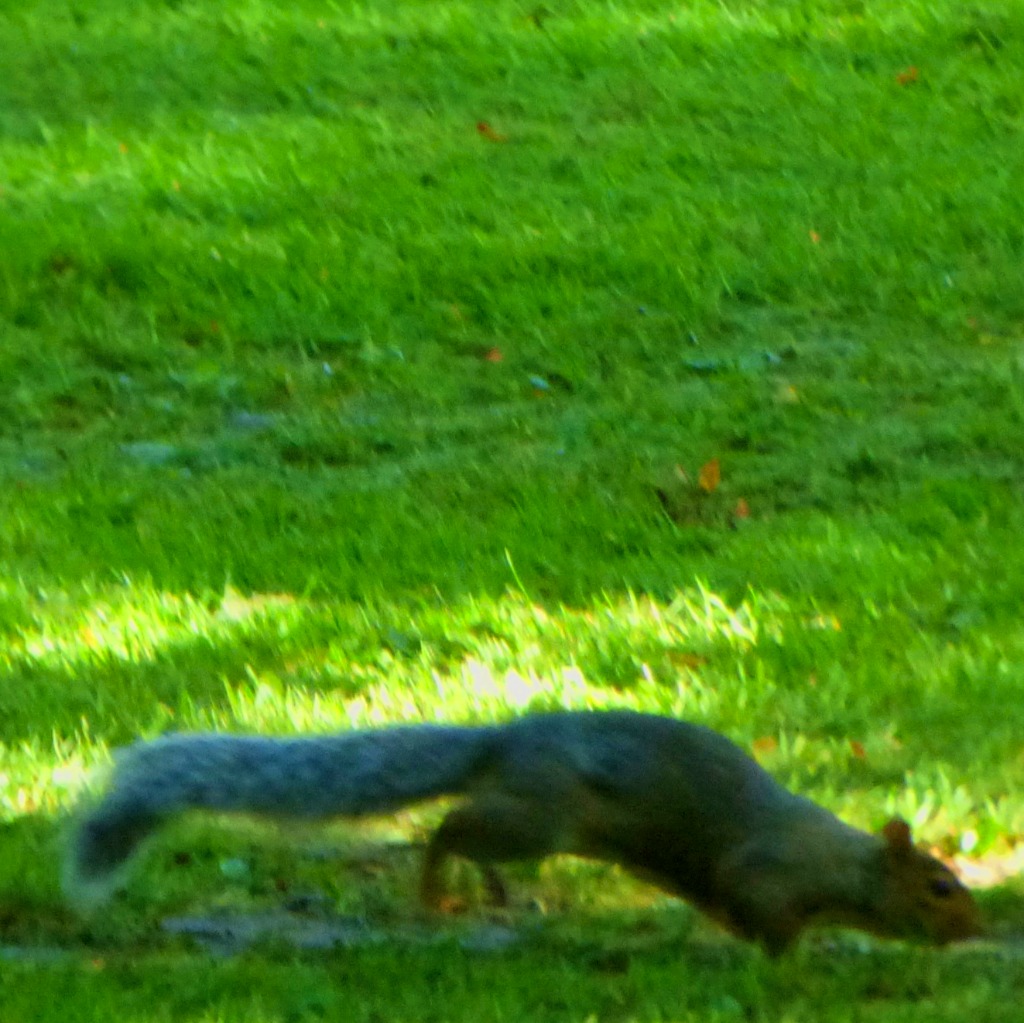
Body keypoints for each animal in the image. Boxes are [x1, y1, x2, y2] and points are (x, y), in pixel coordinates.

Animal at [64, 709, 981, 955]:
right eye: (938, 885)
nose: (977, 927)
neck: (839, 861)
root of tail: (505, 737)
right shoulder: (767, 873)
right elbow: (764, 921)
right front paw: (798, 964)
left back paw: (488, 891)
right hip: (537, 819)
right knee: (448, 826)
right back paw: (437, 888)